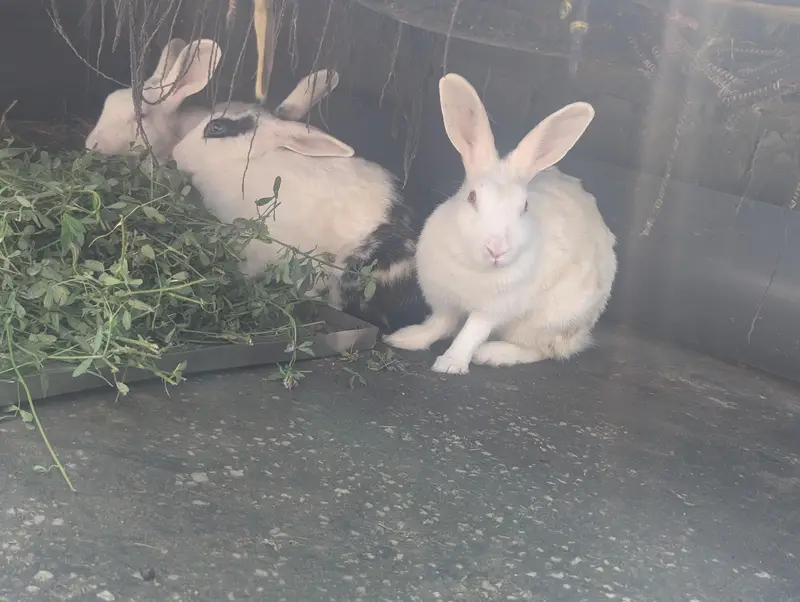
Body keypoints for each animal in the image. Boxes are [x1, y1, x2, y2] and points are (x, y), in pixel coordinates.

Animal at [170, 105, 429, 333]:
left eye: (216, 127)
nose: (175, 155)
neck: (246, 163)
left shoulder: (257, 248)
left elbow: (246, 271)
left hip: (351, 271)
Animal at [383, 73, 618, 374]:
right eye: (472, 197)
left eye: (525, 206)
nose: (496, 249)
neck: (473, 267)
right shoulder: (443, 299)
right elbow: (440, 323)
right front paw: (404, 338)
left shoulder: (492, 309)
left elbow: (471, 333)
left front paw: (450, 364)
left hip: (546, 322)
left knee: (544, 350)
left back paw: (494, 354)